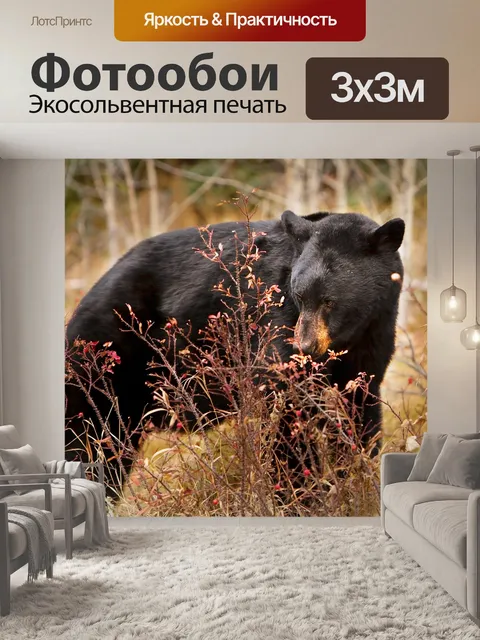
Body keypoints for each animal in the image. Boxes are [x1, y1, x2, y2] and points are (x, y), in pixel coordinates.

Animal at [65, 210, 404, 495]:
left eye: (329, 301)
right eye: (299, 295)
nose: (305, 347)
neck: (349, 336)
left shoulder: (375, 334)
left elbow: (360, 409)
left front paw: (356, 477)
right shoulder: (274, 322)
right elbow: (287, 414)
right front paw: (299, 493)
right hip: (103, 362)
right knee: (88, 440)